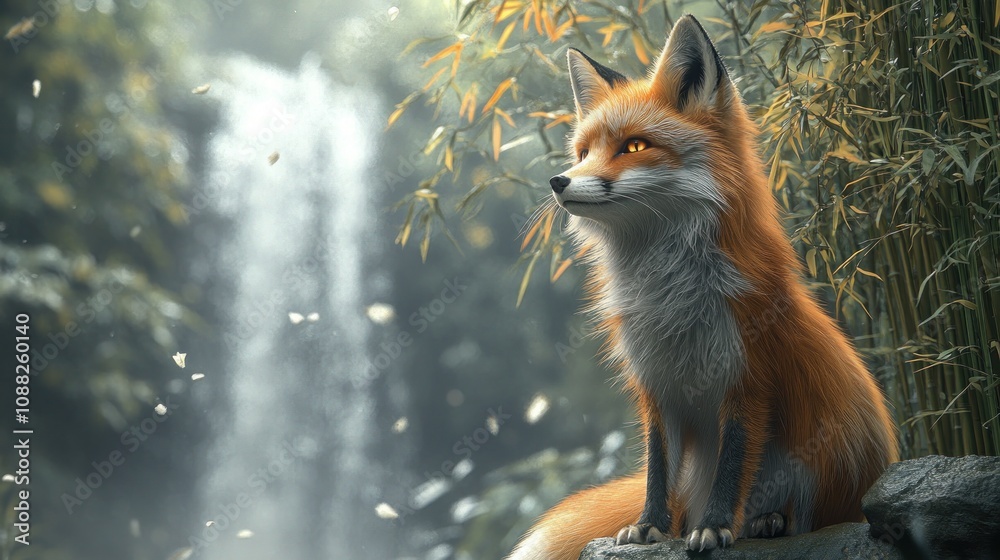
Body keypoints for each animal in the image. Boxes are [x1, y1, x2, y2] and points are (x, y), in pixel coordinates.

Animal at [507, 14, 898, 560]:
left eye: (633, 147)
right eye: (583, 152)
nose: (558, 181)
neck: (672, 300)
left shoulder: (748, 379)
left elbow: (732, 466)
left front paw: (713, 528)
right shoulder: (656, 386)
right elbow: (657, 470)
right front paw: (650, 528)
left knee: (800, 515)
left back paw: (768, 522)